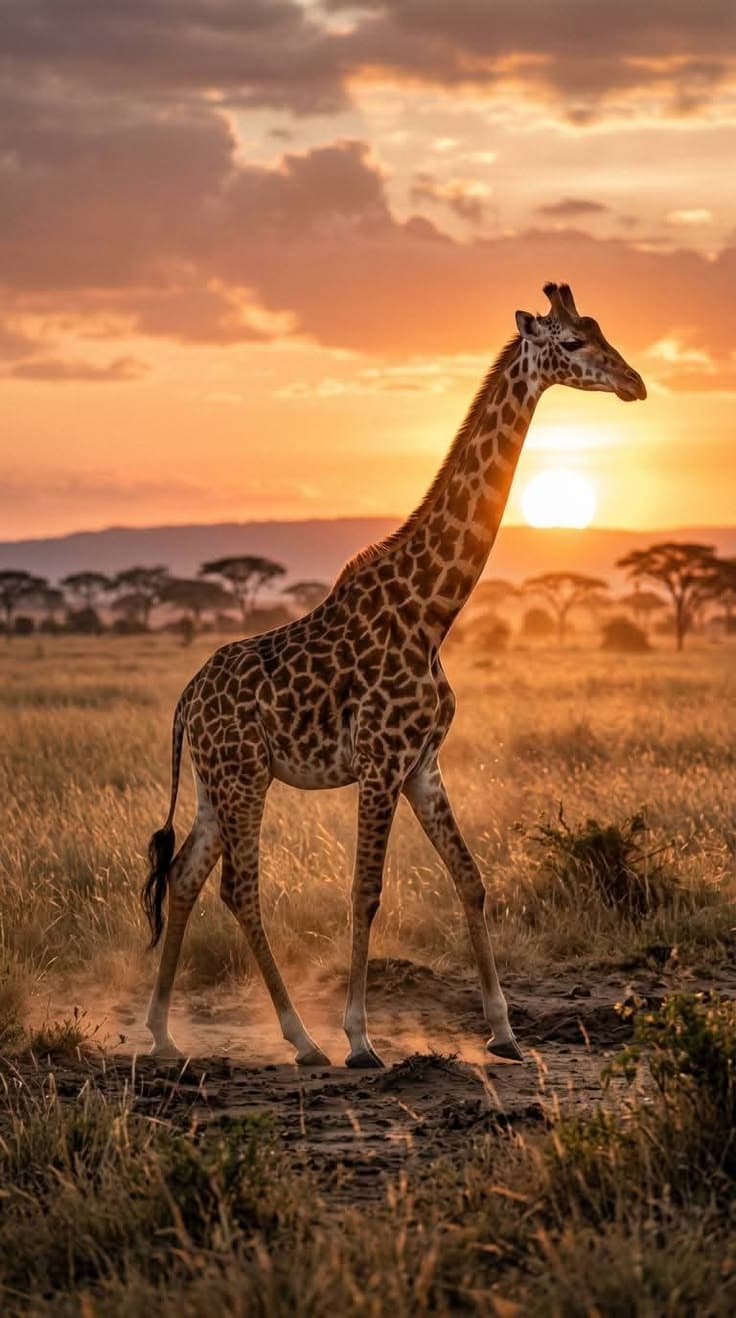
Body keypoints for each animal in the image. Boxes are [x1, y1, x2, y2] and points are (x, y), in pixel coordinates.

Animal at [143, 282, 646, 1068]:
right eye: (571, 342)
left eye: (601, 329)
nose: (635, 383)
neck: (432, 611)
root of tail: (188, 697)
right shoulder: (380, 762)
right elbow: (366, 891)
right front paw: (359, 1036)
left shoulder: (422, 764)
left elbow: (471, 880)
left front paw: (504, 1031)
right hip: (244, 776)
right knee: (239, 888)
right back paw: (304, 1040)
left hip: (212, 782)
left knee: (188, 875)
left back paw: (164, 1033)